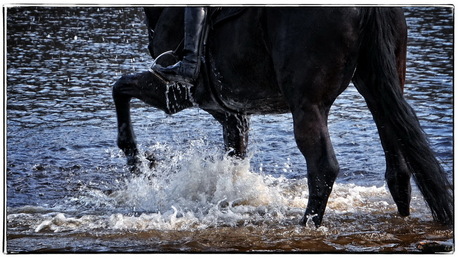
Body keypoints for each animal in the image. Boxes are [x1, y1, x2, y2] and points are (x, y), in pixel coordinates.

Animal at [112, 7, 452, 229]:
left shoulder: (175, 92)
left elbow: (120, 88)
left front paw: (138, 162)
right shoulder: (230, 111)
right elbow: (234, 159)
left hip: (307, 104)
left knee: (323, 167)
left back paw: (306, 225)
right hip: (378, 88)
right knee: (399, 168)